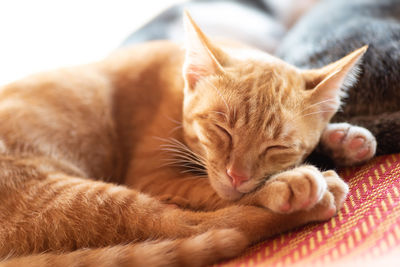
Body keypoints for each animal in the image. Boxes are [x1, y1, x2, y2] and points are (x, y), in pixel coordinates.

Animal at [0, 12, 356, 266]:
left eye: (277, 147)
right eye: (221, 129)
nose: (237, 175)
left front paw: (345, 138)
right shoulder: (152, 176)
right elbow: (212, 191)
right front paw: (282, 182)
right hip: (80, 198)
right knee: (199, 225)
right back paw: (316, 194)